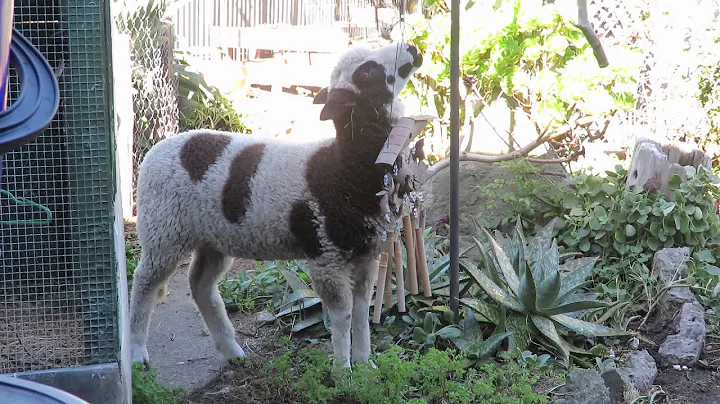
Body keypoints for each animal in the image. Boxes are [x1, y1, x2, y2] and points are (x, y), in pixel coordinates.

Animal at [127, 41, 424, 370]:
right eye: (368, 71)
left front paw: (364, 365)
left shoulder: (365, 252)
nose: (412, 47)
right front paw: (342, 369)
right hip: (164, 229)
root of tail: (156, 149)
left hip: (211, 237)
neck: (344, 166)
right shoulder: (326, 254)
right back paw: (137, 354)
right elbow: (342, 315)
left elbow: (361, 311)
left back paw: (232, 351)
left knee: (200, 284)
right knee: (144, 282)